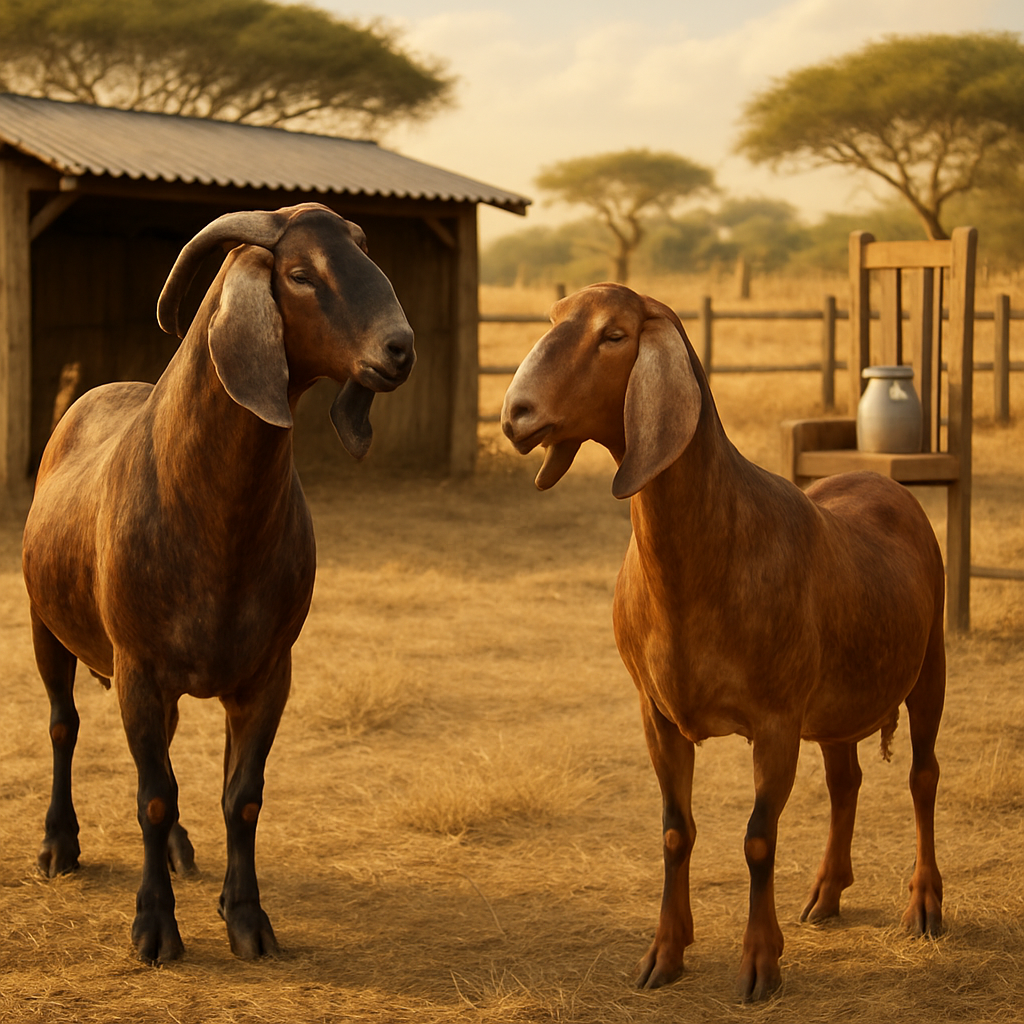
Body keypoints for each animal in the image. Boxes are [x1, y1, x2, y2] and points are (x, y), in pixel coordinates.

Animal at [22, 203, 415, 964]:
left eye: (365, 252)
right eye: (301, 273)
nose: (400, 348)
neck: (214, 523)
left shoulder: (268, 673)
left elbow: (242, 796)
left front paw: (247, 919)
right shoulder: (139, 667)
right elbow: (152, 796)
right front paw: (154, 927)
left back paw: (179, 852)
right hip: (44, 626)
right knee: (63, 725)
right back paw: (59, 844)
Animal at [501, 283, 945, 1001]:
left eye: (615, 335)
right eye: (552, 320)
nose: (516, 414)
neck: (704, 560)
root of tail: (881, 479)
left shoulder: (776, 720)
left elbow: (759, 840)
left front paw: (760, 963)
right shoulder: (658, 714)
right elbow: (675, 831)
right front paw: (664, 953)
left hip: (928, 665)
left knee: (922, 776)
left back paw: (924, 904)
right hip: (839, 699)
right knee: (845, 780)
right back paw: (827, 892)